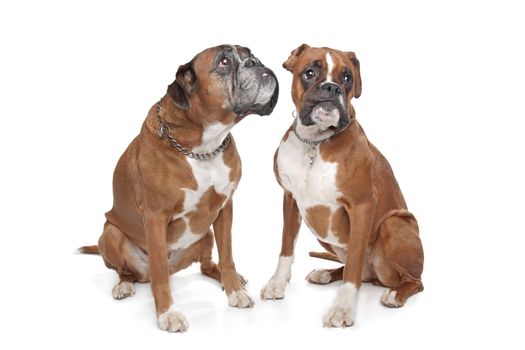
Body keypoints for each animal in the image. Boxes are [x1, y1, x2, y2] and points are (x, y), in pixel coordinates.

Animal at [77, 45, 278, 332]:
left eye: (251, 55)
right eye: (224, 61)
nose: (256, 63)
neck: (204, 147)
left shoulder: (225, 208)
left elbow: (227, 256)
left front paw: (234, 290)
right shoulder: (155, 218)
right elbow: (160, 272)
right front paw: (167, 313)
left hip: (206, 235)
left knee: (207, 265)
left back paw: (228, 278)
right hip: (111, 234)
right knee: (129, 271)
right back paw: (124, 285)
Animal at [260, 44, 424, 328]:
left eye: (347, 78)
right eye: (310, 72)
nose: (332, 87)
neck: (315, 143)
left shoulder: (362, 206)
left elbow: (354, 262)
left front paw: (343, 309)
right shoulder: (290, 200)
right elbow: (286, 248)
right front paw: (277, 284)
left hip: (393, 224)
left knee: (414, 281)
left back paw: (395, 294)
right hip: (321, 232)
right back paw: (325, 274)